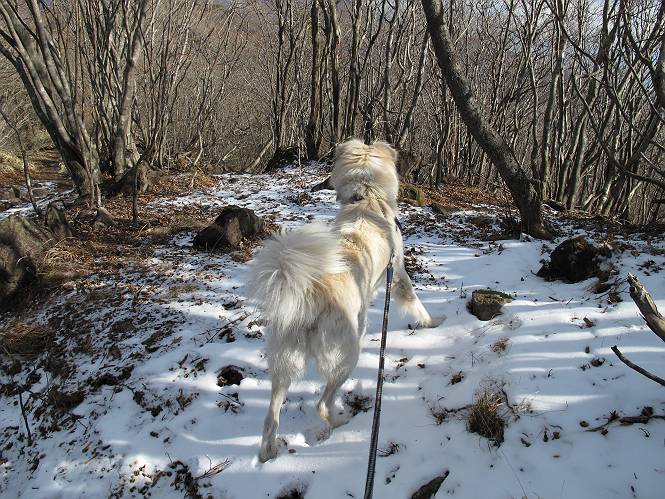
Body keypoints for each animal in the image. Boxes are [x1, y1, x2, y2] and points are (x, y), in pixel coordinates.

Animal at [248, 139, 443, 462]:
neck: (366, 198)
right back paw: (343, 420)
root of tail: (310, 293)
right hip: (347, 352)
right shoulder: (398, 272)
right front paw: (433, 322)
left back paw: (267, 452)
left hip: (285, 358)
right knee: (322, 404)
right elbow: (414, 300)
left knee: (270, 415)